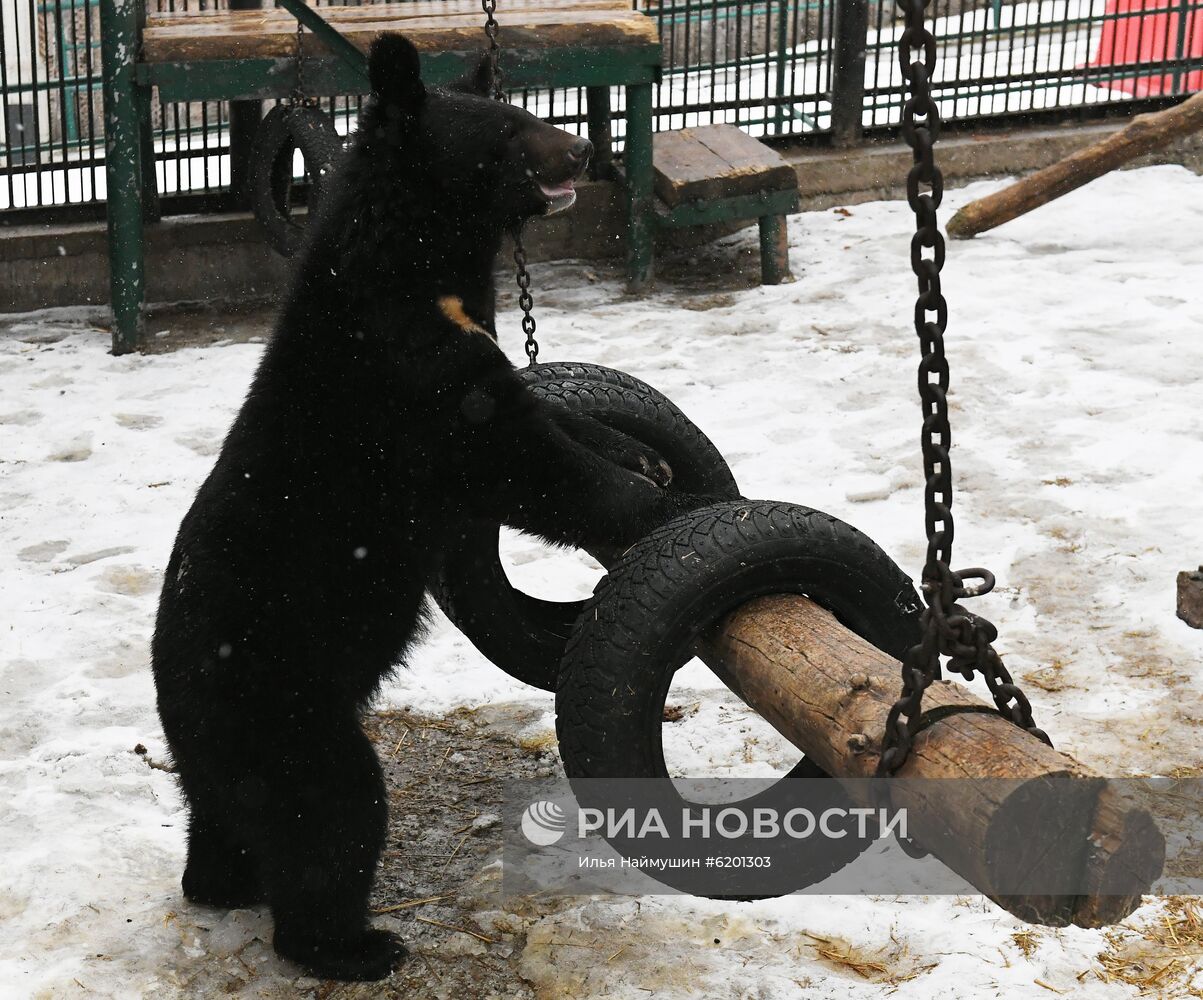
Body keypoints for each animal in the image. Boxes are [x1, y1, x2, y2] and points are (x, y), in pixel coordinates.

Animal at [150, 33, 712, 986]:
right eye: (511, 132)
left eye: (530, 110)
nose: (583, 152)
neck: (423, 262)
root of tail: (169, 696)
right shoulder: (411, 371)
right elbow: (520, 457)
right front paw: (648, 504)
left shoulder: (468, 338)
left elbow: (545, 413)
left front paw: (643, 452)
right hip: (278, 704)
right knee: (332, 815)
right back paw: (356, 945)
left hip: (231, 747)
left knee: (226, 820)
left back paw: (222, 883)